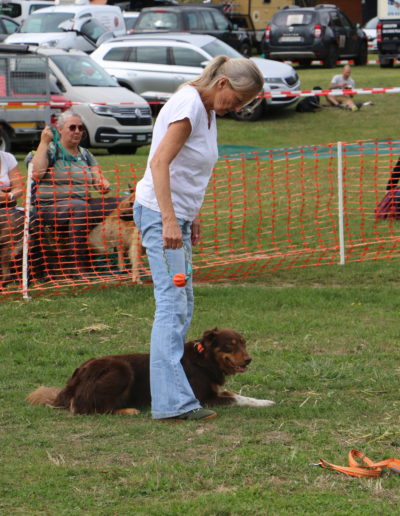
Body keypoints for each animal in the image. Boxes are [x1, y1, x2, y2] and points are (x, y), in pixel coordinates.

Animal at [27, 328, 275, 416]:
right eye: (230, 345)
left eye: (243, 343)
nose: (249, 359)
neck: (205, 359)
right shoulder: (203, 398)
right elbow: (239, 399)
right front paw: (264, 403)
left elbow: (241, 395)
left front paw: (265, 401)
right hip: (121, 369)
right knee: (85, 408)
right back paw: (128, 410)